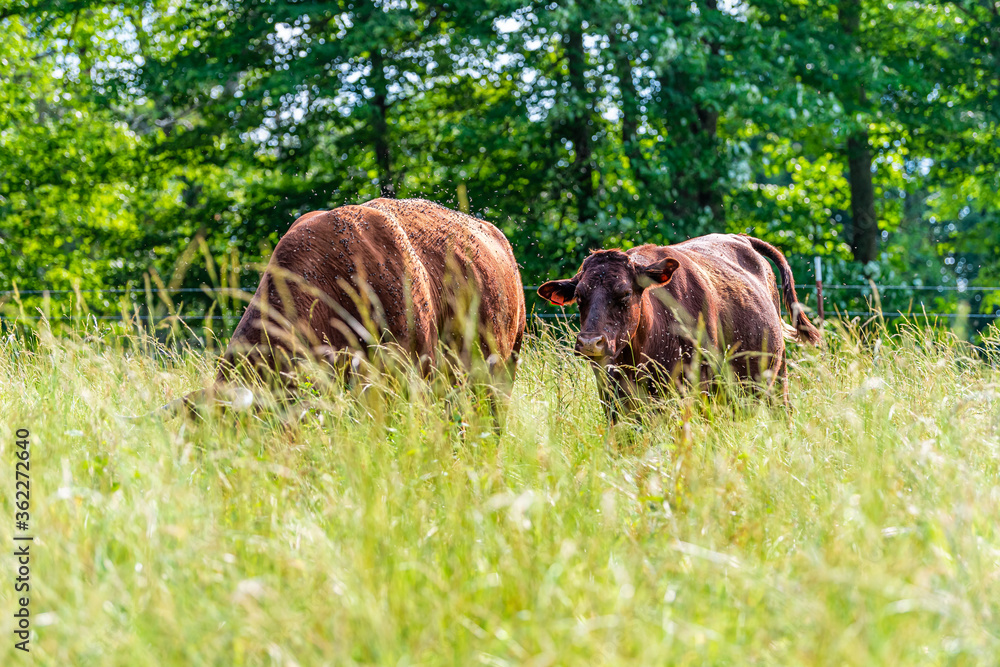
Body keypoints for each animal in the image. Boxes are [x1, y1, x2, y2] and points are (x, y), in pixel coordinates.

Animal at [536, 234, 821, 417]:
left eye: (625, 293)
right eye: (579, 296)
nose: (589, 343)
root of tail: (741, 237)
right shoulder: (611, 395)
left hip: (777, 376)